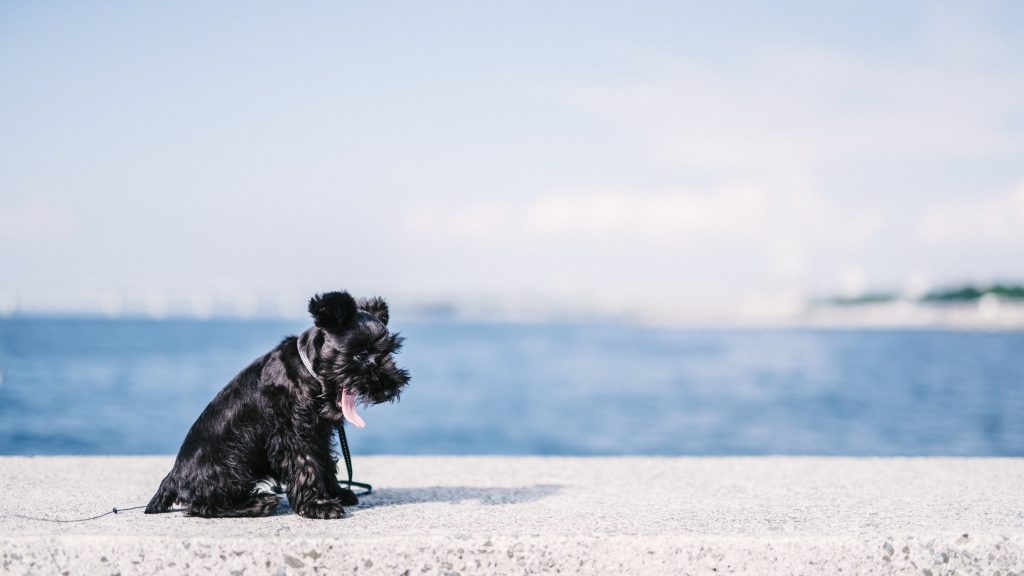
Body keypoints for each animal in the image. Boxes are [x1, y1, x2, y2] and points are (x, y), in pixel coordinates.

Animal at [144, 289, 407, 518]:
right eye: (361, 354)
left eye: (390, 351)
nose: (389, 387)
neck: (309, 373)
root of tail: (173, 477)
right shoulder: (293, 437)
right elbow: (307, 467)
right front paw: (317, 505)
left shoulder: (319, 434)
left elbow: (325, 464)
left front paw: (337, 493)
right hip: (232, 462)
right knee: (203, 507)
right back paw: (258, 503)